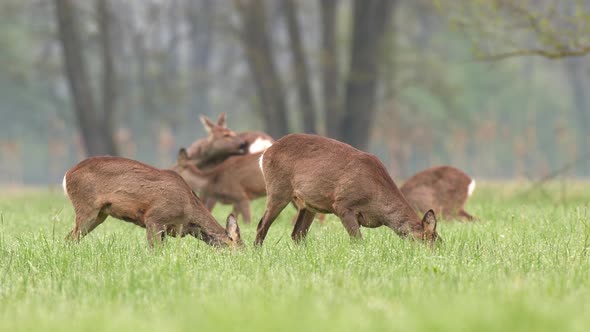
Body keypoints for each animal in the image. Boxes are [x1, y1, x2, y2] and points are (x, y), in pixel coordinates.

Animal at [62, 157, 243, 248]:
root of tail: (67, 175)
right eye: (240, 246)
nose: (243, 257)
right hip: (86, 207)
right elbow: (154, 249)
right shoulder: (154, 218)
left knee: (69, 237)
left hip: (100, 214)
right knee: (71, 238)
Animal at [254, 134, 440, 246]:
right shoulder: (343, 205)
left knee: (297, 234)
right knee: (262, 224)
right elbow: (357, 240)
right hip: (278, 189)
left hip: (308, 205)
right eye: (430, 242)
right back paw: (257, 254)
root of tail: (264, 154)